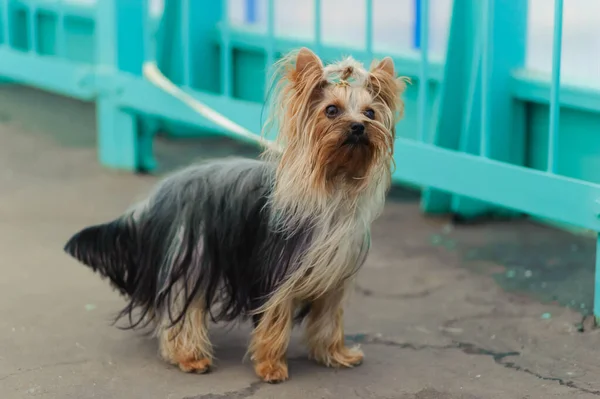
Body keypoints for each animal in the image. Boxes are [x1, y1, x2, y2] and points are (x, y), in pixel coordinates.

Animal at [63, 47, 406, 384]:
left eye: (370, 113)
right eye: (332, 110)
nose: (358, 127)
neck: (334, 184)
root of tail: (157, 196)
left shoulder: (334, 277)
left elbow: (329, 318)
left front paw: (336, 354)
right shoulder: (277, 273)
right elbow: (274, 319)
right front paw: (271, 367)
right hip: (191, 255)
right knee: (182, 309)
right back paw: (190, 357)